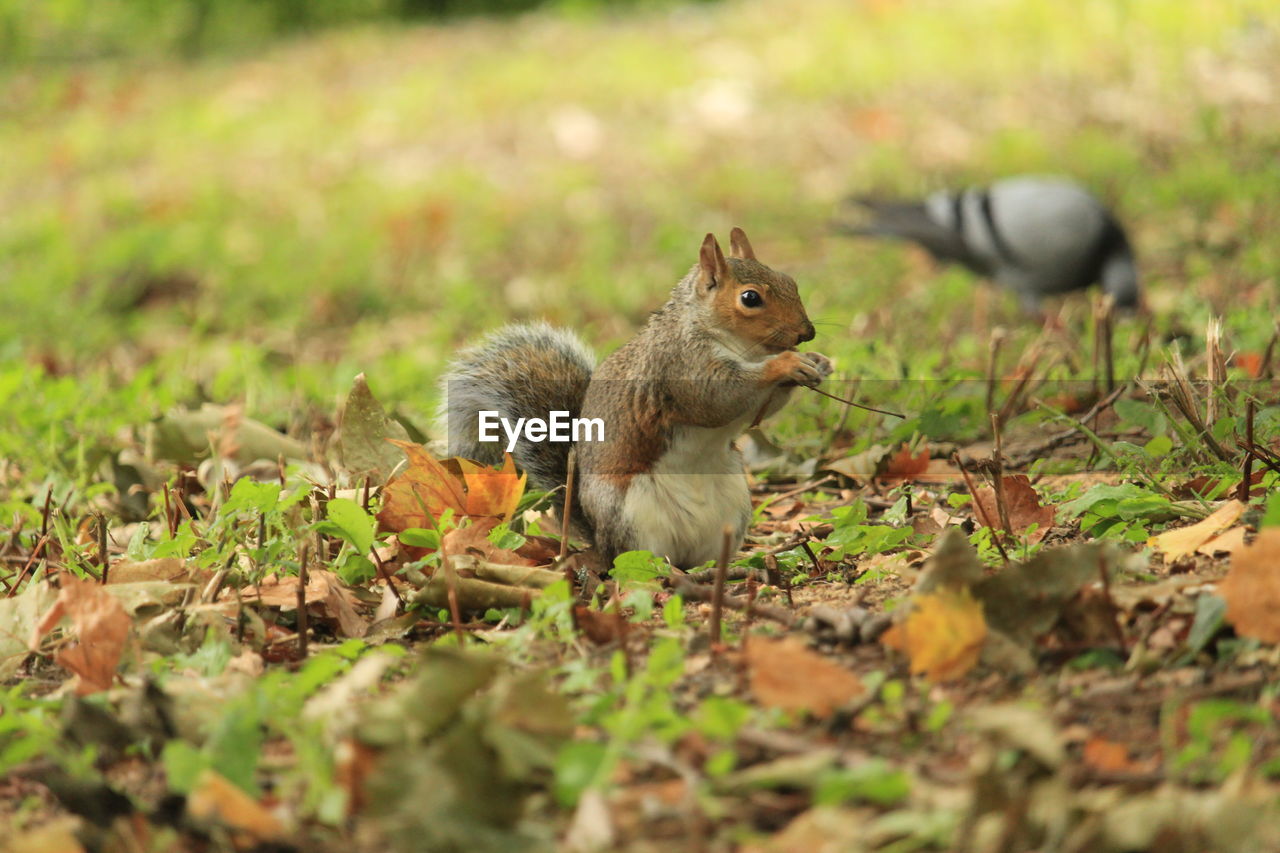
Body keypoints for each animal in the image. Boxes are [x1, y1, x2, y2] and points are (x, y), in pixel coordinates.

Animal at [445, 229, 834, 568]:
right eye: (750, 298)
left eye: (790, 281)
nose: (807, 333)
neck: (739, 346)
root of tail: (597, 537)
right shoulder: (679, 365)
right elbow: (717, 398)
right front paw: (786, 364)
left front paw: (818, 363)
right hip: (630, 514)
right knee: (636, 559)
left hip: (733, 507)